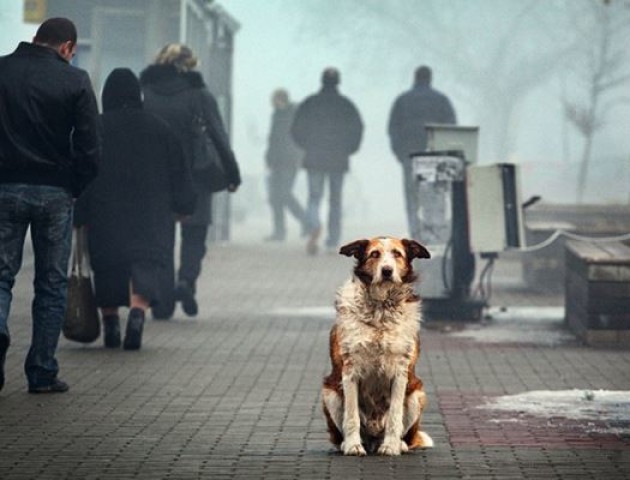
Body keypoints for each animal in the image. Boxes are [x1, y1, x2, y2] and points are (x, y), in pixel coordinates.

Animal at [326, 238, 434, 456]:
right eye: (374, 254)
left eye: (397, 254)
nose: (386, 271)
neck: (381, 308)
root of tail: (373, 440)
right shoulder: (350, 372)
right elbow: (352, 416)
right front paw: (353, 446)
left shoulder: (400, 372)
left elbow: (394, 415)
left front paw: (391, 446)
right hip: (330, 394)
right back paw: (347, 444)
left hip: (417, 394)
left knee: (405, 433)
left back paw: (398, 444)